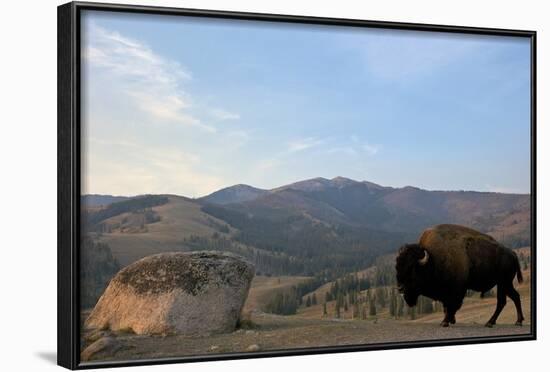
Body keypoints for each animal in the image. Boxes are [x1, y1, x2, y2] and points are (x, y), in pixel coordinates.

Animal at [396, 224, 528, 326]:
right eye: (397, 267)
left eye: (412, 269)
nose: (400, 288)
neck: (433, 259)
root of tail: (512, 253)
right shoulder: (446, 292)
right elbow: (446, 306)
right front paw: (450, 321)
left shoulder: (456, 290)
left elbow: (452, 305)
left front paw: (445, 322)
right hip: (505, 284)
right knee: (513, 297)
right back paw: (515, 321)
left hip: (503, 283)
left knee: (502, 301)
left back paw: (492, 322)